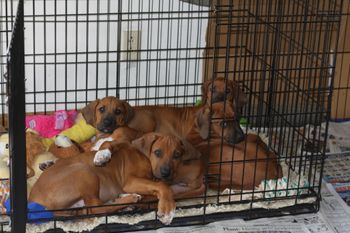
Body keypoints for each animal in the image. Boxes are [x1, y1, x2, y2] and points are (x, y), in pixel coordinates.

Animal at [28, 137, 179, 225]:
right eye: (158, 152)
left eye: (176, 155)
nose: (166, 172)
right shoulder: (130, 181)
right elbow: (163, 186)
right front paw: (168, 209)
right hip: (84, 171)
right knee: (95, 208)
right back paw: (129, 199)